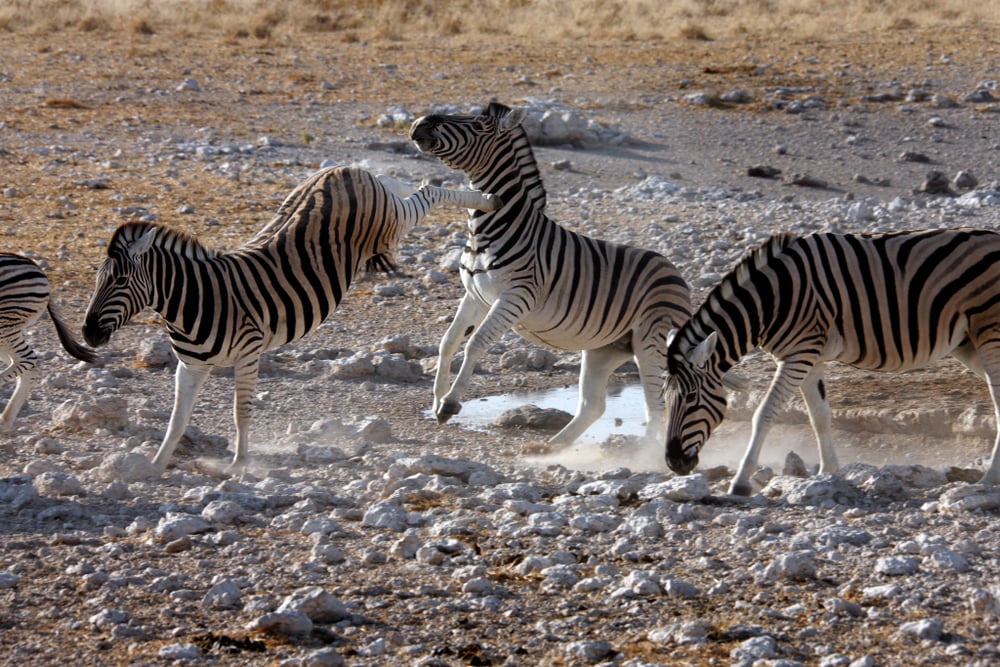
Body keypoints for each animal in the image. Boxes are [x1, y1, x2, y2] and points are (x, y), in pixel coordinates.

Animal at [0, 253, 97, 430]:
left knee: (28, 360)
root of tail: (32, 263)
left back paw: (4, 422)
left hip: (7, 325)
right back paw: (5, 421)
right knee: (28, 367)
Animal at [82, 167, 500, 472]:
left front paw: (239, 464)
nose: (87, 333)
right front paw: (155, 465)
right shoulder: (190, 366)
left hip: (390, 223)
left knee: (427, 194)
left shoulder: (248, 354)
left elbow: (240, 413)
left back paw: (486, 199)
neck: (192, 301)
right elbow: (177, 420)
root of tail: (339, 169)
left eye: (120, 281)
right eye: (97, 280)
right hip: (374, 212)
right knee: (406, 187)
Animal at [410, 103, 692, 448]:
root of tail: (677, 275)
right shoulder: (475, 295)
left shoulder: (517, 296)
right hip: (607, 347)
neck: (488, 229)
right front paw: (437, 400)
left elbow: (475, 343)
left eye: (477, 125)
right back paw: (551, 448)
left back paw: (639, 454)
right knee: (593, 406)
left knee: (658, 407)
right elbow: (448, 341)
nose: (420, 122)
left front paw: (450, 402)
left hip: (651, 339)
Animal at [664, 230, 1000, 496]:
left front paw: (741, 481)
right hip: (968, 342)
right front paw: (828, 473)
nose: (673, 462)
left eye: (691, 398)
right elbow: (819, 416)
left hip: (988, 332)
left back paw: (989, 479)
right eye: (665, 400)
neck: (770, 301)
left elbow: (765, 413)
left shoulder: (799, 353)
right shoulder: (808, 356)